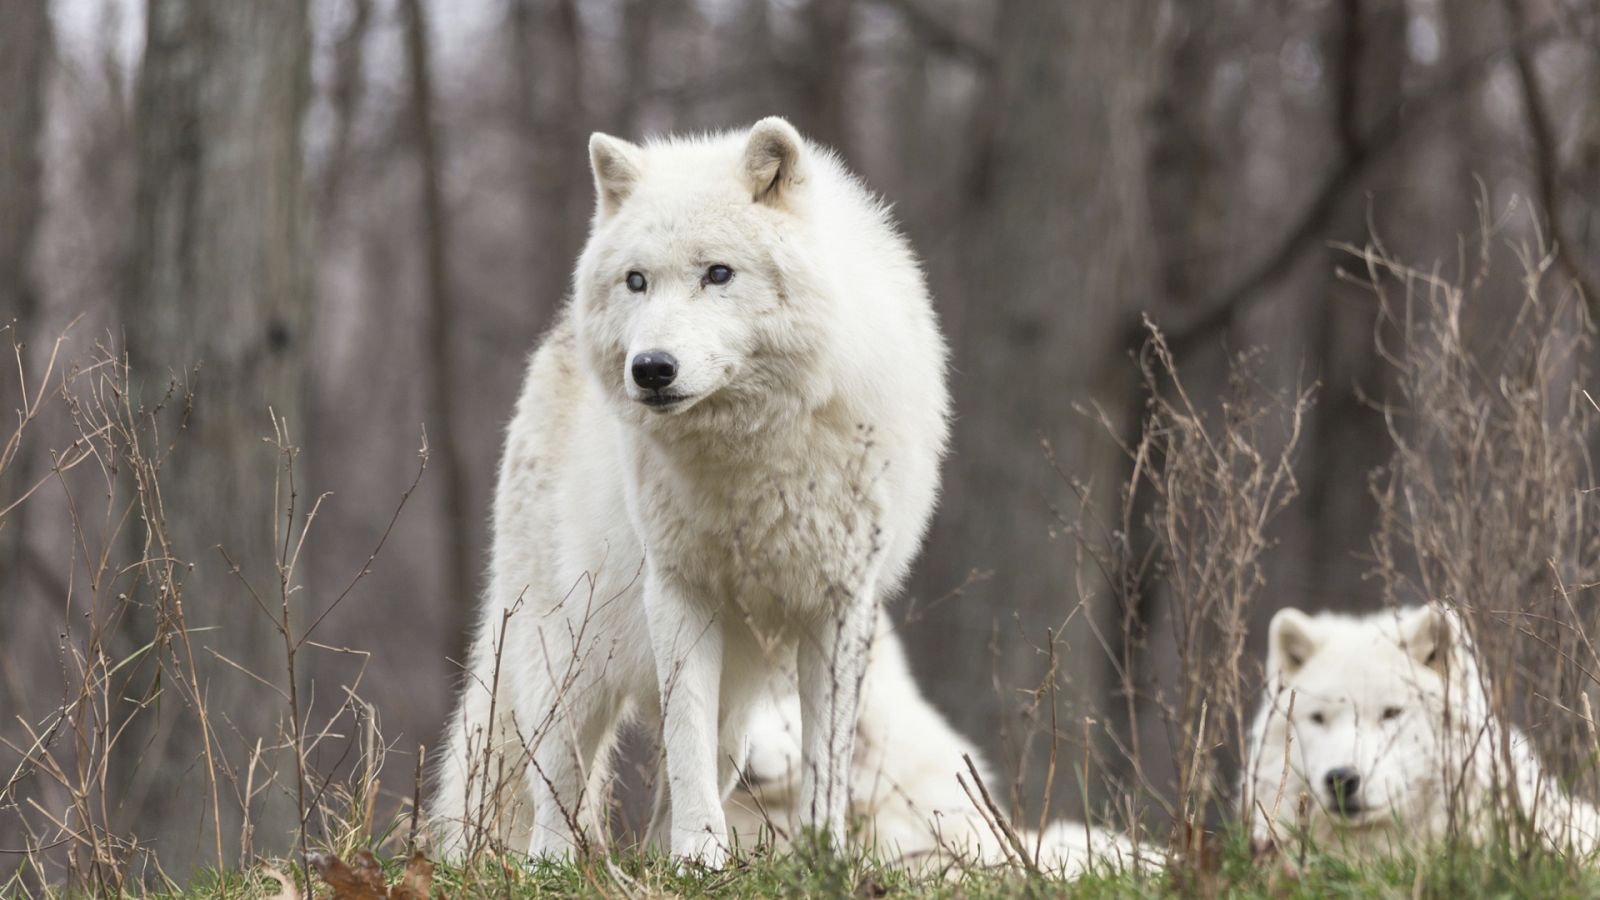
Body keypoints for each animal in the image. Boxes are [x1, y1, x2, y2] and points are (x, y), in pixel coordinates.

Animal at [428, 117, 947, 864]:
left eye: (718, 273)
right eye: (637, 281)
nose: (651, 369)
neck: (750, 455)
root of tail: (554, 340)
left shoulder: (840, 604)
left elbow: (826, 755)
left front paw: (821, 859)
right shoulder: (678, 594)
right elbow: (683, 739)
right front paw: (700, 858)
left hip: (739, 699)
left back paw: (651, 861)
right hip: (569, 659)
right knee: (557, 785)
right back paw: (554, 865)